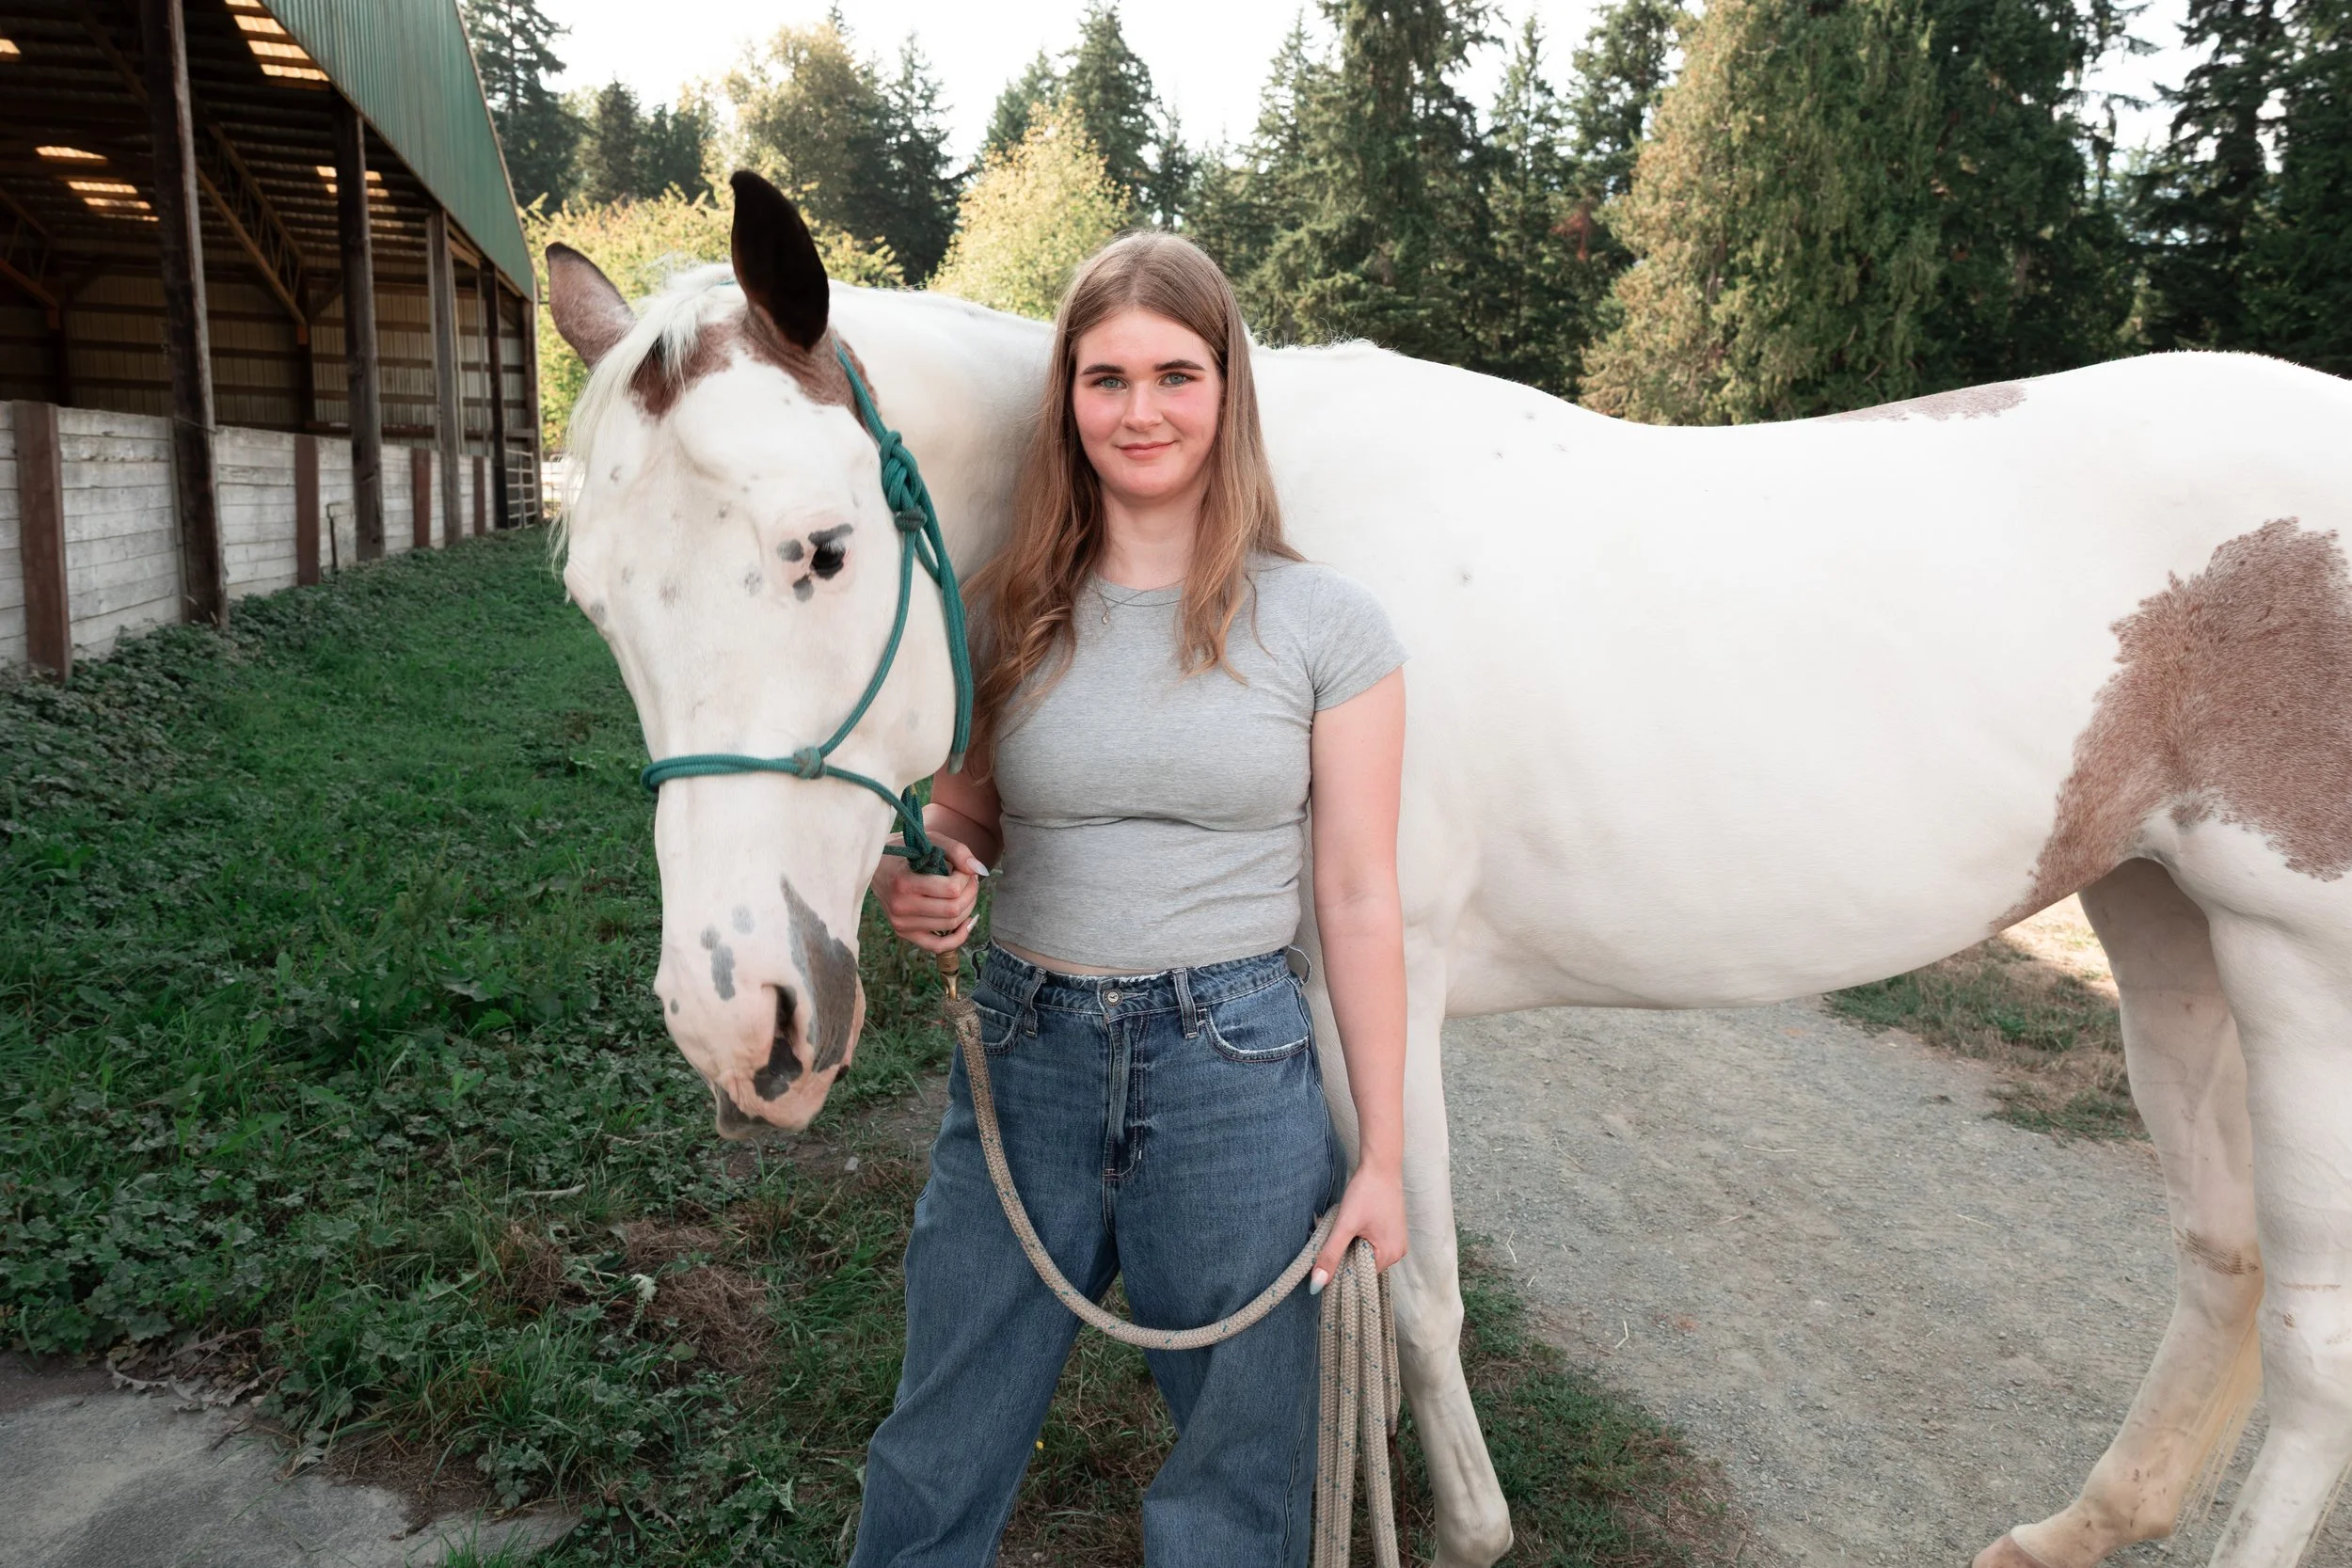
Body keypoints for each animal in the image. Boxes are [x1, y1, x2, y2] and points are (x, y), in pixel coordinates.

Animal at [547, 172, 2352, 1568]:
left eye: (824, 548)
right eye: (589, 597)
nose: (740, 1019)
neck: (1249, 538)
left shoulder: (1381, 983)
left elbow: (1404, 1281)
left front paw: (1469, 1524)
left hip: (2293, 961)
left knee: (2312, 1344)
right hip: (2159, 916)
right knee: (2219, 1255)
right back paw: (2080, 1523)